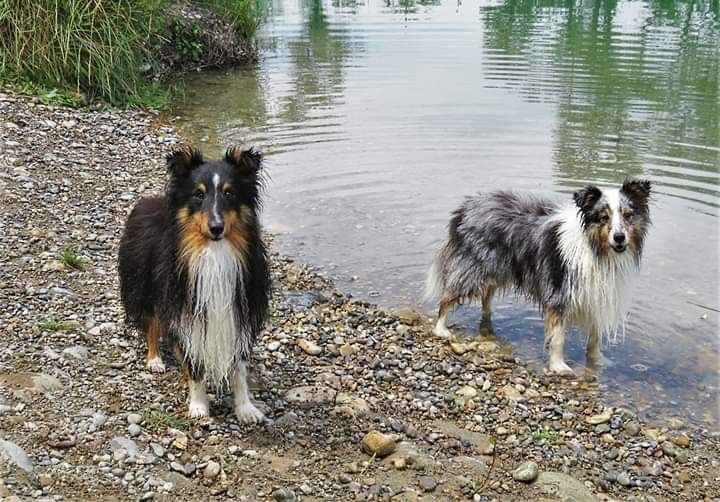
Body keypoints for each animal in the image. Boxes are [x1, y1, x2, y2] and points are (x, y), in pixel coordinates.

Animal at [118, 146, 270, 424]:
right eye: (199, 194)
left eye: (230, 193)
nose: (216, 227)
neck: (214, 252)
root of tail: (148, 200)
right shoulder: (187, 309)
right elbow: (195, 364)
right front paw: (199, 405)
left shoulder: (239, 310)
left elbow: (239, 369)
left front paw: (245, 408)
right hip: (149, 287)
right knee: (152, 324)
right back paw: (154, 359)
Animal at [428, 179, 652, 372]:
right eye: (604, 217)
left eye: (628, 215)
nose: (619, 238)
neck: (596, 249)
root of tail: (465, 208)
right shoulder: (559, 294)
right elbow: (559, 337)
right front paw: (559, 367)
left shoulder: (596, 296)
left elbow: (594, 339)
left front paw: (597, 362)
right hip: (472, 269)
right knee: (447, 297)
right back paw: (441, 329)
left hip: (496, 269)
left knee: (486, 296)